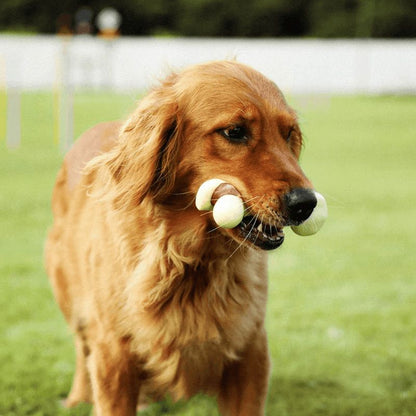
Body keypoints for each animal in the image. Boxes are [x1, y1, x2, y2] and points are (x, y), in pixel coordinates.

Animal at [45, 60, 316, 414]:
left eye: (288, 134)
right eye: (235, 132)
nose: (306, 203)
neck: (190, 260)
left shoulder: (250, 351)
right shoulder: (114, 356)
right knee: (81, 346)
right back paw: (77, 397)